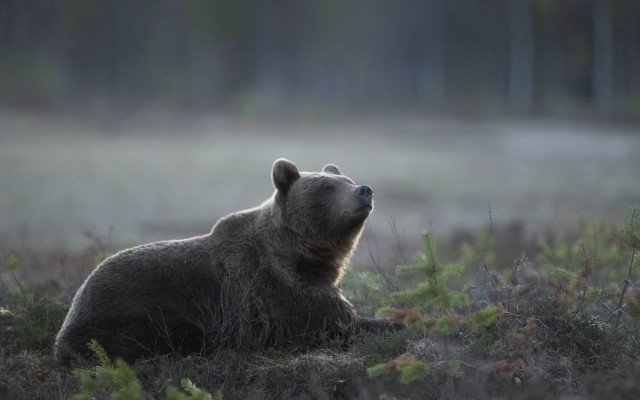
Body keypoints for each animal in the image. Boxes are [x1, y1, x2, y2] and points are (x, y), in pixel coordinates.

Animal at [54, 158, 395, 364]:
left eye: (347, 178)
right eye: (327, 187)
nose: (364, 190)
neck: (304, 253)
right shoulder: (282, 290)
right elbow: (338, 321)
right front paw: (389, 322)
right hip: (136, 315)